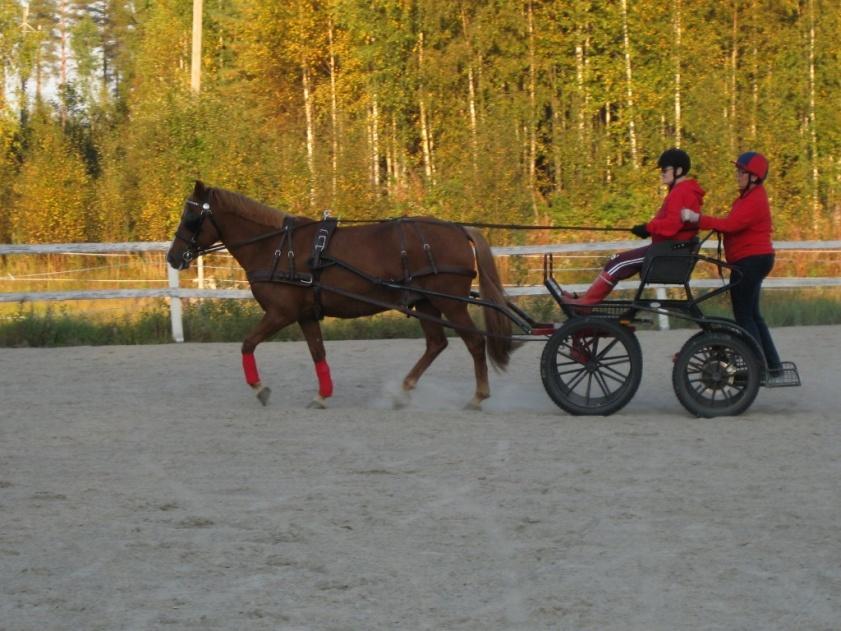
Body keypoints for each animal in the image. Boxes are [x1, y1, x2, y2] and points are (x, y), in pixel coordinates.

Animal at [167, 180, 516, 412]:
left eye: (191, 217)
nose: (173, 257)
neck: (277, 247)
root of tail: (458, 229)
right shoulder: (305, 315)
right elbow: (318, 353)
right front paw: (322, 394)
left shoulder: (281, 313)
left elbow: (248, 344)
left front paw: (260, 388)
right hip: (425, 302)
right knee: (436, 344)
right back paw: (403, 391)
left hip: (450, 302)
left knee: (475, 343)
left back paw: (478, 396)